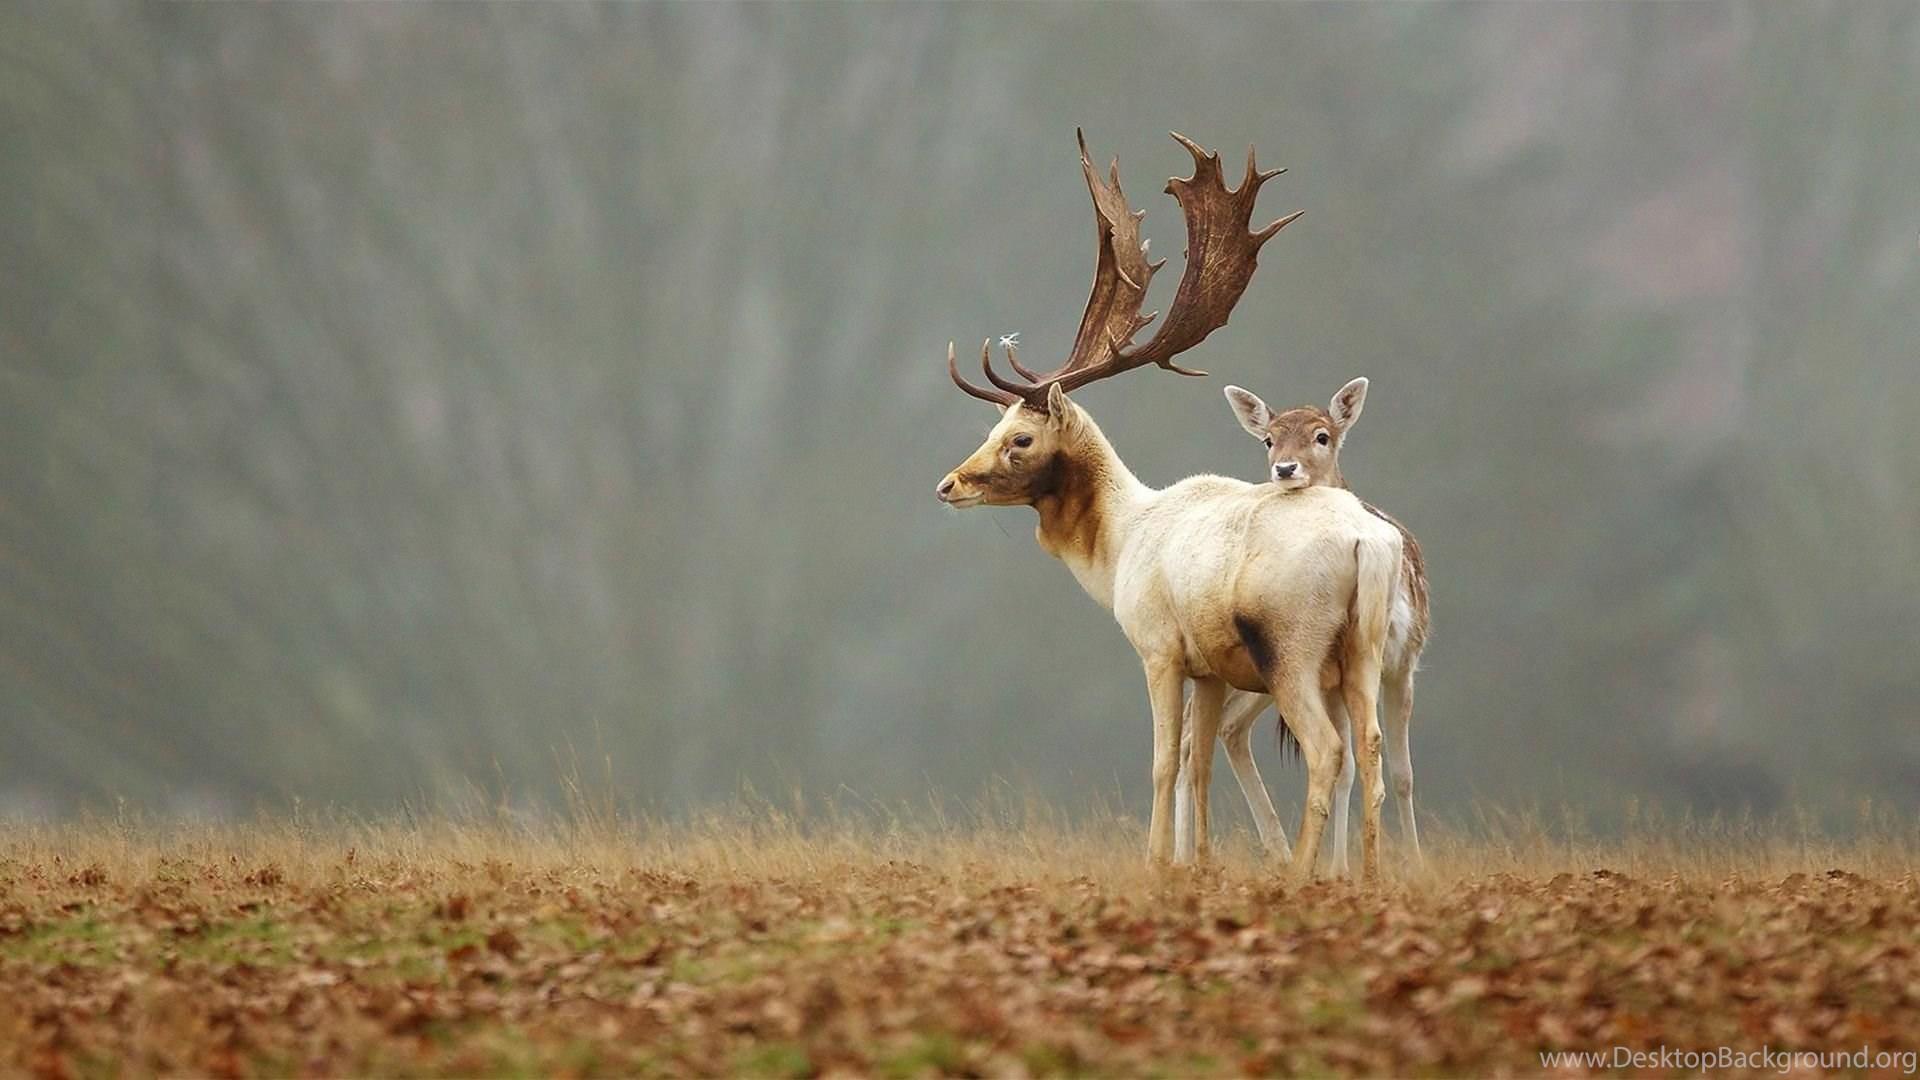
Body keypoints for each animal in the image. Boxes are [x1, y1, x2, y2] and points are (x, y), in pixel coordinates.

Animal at [934, 130, 1403, 880]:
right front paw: (1198, 863)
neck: (1119, 545)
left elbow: (1161, 761)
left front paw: (1156, 861)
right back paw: (1369, 875)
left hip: (1292, 646)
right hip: (1364, 647)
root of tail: (1370, 543)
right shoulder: (1208, 667)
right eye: (992, 426)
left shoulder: (1157, 646)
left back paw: (1300, 872)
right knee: (1374, 751)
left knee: (1328, 750)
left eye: (1020, 438)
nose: (948, 484)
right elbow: (1197, 764)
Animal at [1173, 377, 1432, 873]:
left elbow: (1402, 772)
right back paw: (1183, 858)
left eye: (1322, 435)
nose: (1285, 468)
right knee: (1198, 735)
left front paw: (1407, 863)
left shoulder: (1404, 661)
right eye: (1268, 439)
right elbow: (1353, 766)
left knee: (1219, 731)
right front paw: (1340, 868)